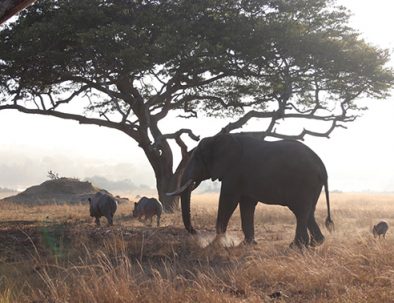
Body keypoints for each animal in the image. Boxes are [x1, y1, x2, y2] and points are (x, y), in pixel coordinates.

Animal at [168, 134, 334, 248]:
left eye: (197, 158)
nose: (195, 231)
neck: (218, 138)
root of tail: (322, 166)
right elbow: (246, 204)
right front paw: (247, 244)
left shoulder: (234, 171)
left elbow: (228, 200)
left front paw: (215, 244)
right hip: (312, 185)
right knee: (308, 211)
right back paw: (315, 243)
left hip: (304, 182)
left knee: (300, 210)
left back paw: (297, 246)